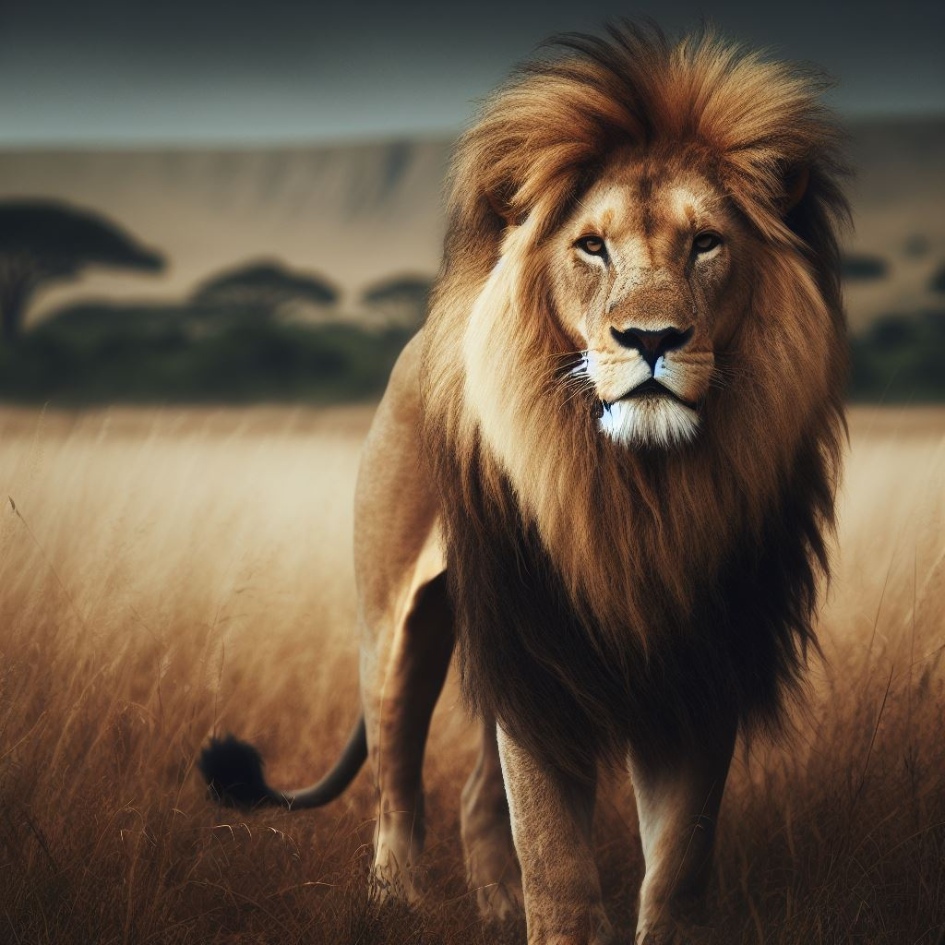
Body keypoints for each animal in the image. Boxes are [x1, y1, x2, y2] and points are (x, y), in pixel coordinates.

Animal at [199, 23, 849, 945]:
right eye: (591, 246)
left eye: (704, 243)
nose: (651, 338)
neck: (639, 495)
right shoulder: (537, 650)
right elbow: (556, 858)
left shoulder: (699, 666)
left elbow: (677, 863)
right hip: (398, 625)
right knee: (396, 778)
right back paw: (398, 899)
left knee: (475, 793)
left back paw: (494, 905)